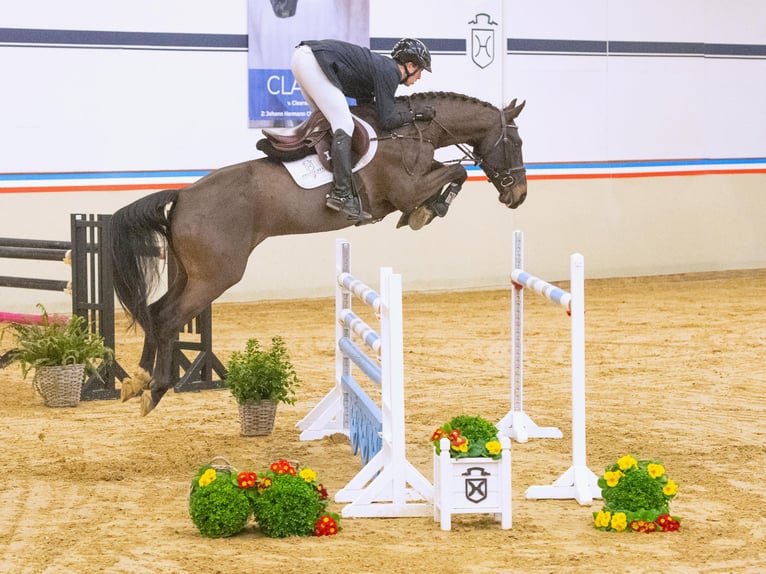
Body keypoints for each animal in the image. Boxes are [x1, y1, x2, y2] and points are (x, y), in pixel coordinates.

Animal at [111, 90, 524, 416]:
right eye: (517, 143)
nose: (518, 195)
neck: (409, 131)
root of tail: (183, 195)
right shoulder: (408, 188)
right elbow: (456, 174)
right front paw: (427, 211)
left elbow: (451, 173)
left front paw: (423, 213)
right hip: (216, 276)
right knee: (167, 318)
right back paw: (155, 389)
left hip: (190, 273)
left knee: (154, 312)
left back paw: (138, 380)